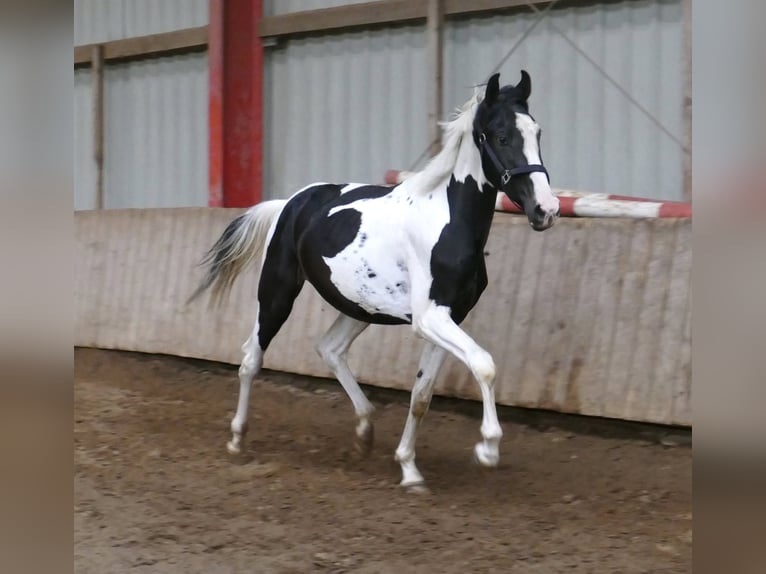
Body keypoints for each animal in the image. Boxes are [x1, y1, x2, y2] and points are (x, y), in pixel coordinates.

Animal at [189, 71, 560, 490]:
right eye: (500, 136)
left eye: (537, 132)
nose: (546, 210)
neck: (447, 222)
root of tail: (291, 203)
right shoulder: (430, 319)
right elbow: (484, 365)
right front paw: (487, 449)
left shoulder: (449, 318)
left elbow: (422, 395)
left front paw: (409, 469)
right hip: (277, 292)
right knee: (252, 357)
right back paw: (237, 438)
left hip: (359, 306)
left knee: (330, 349)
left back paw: (365, 430)